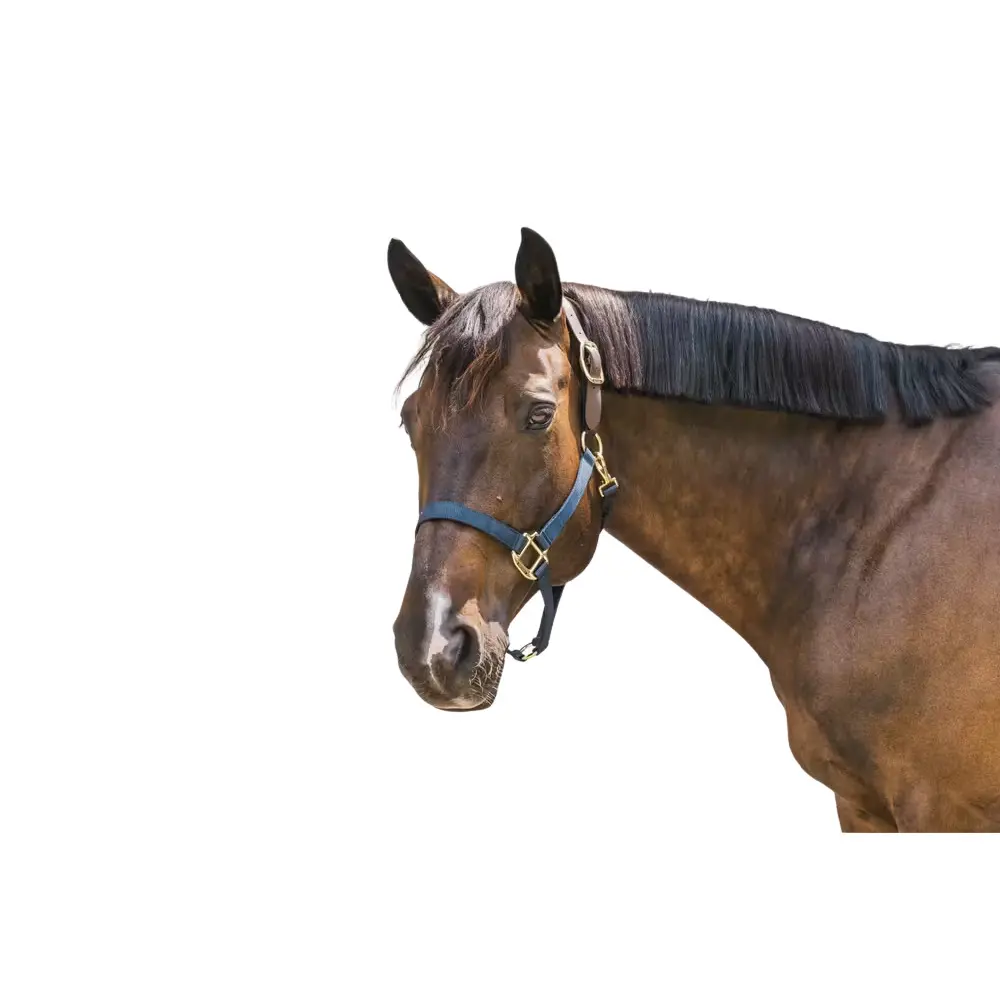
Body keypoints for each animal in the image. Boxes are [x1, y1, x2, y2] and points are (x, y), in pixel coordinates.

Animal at [388, 227, 1000, 832]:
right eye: (409, 420)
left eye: (538, 415)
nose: (431, 647)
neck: (878, 518)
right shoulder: (860, 806)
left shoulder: (938, 807)